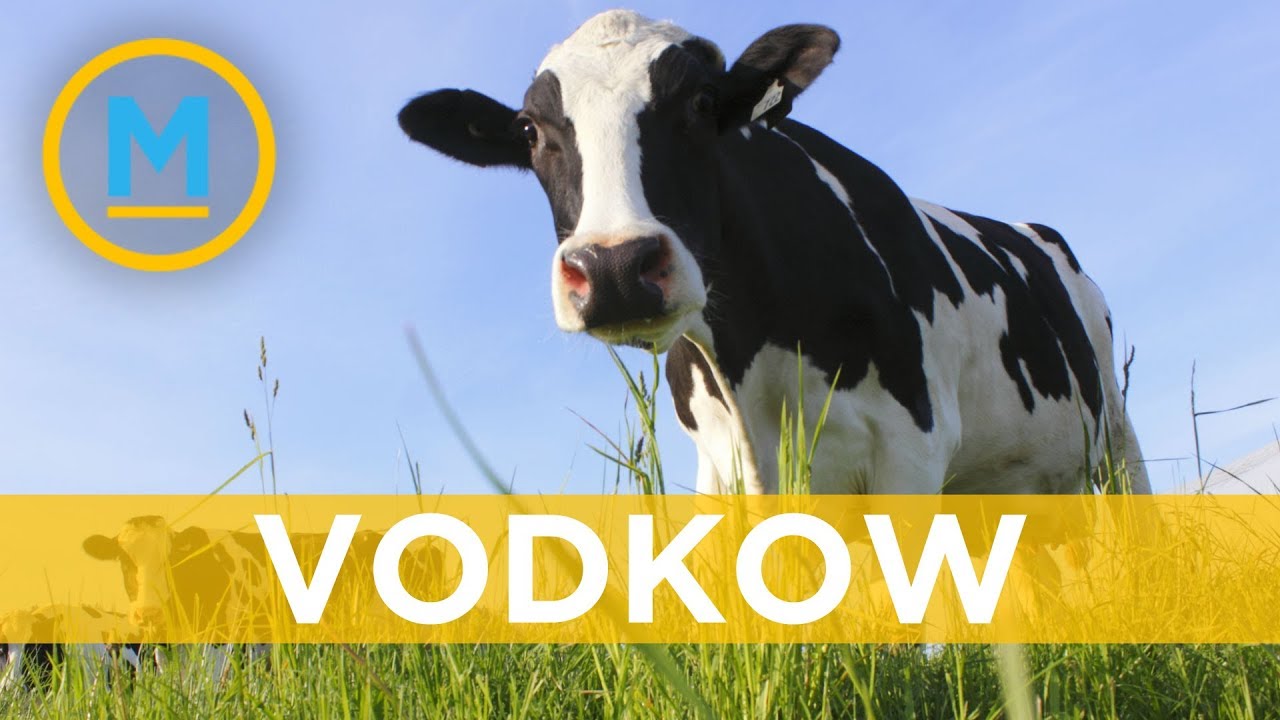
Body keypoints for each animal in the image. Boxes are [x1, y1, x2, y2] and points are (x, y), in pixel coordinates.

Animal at [396, 10, 1149, 496]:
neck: (752, 363)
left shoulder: (913, 446)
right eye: (529, 130)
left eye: (703, 103)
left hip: (1114, 440)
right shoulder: (721, 466)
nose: (614, 267)